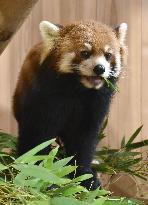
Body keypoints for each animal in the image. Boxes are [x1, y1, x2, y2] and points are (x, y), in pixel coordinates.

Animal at [12, 20, 127, 190]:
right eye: (85, 53)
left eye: (108, 55)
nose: (100, 68)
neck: (78, 90)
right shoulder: (45, 100)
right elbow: (38, 134)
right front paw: (36, 168)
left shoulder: (95, 105)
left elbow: (84, 140)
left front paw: (85, 175)